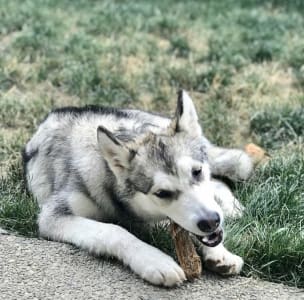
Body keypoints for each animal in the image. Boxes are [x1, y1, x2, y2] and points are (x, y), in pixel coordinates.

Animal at [23, 91, 252, 286]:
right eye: (162, 193)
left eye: (196, 172)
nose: (211, 222)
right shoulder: (53, 217)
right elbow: (114, 231)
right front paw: (155, 261)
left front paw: (220, 252)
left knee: (221, 178)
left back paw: (232, 207)